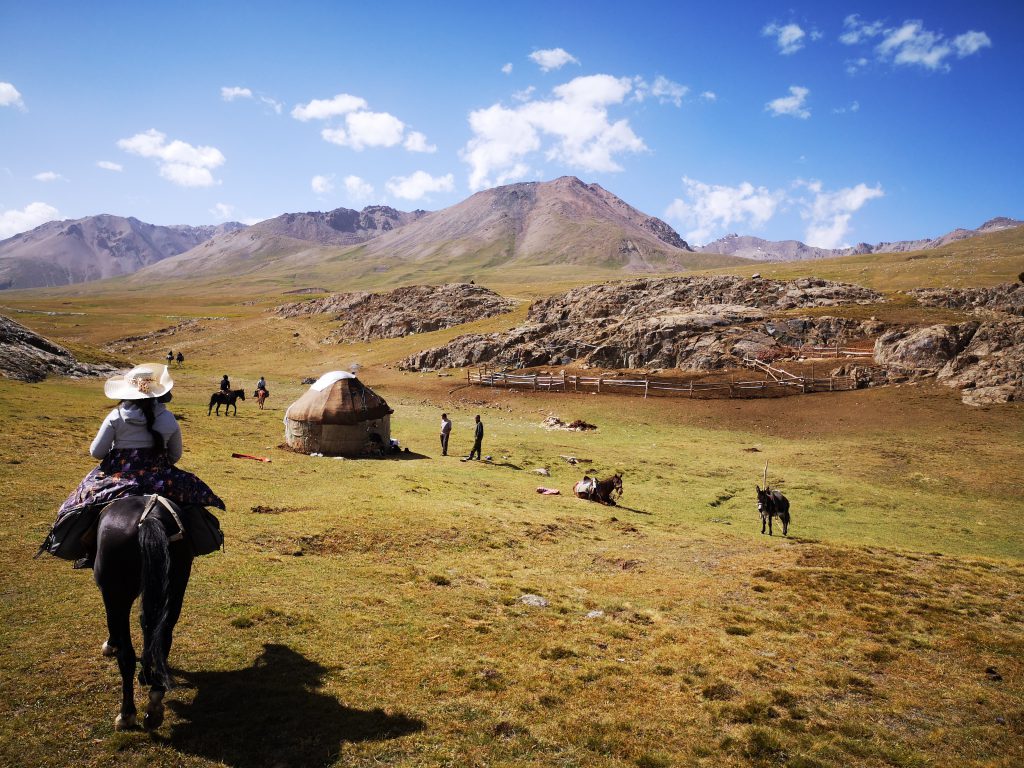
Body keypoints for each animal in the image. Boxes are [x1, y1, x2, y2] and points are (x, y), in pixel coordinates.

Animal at [95, 495, 193, 729]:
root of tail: (150, 518)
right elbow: (147, 624)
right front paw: (146, 674)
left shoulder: (110, 595)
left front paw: (110, 644)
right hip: (175, 588)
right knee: (163, 635)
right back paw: (155, 700)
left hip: (117, 594)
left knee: (126, 656)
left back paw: (126, 714)